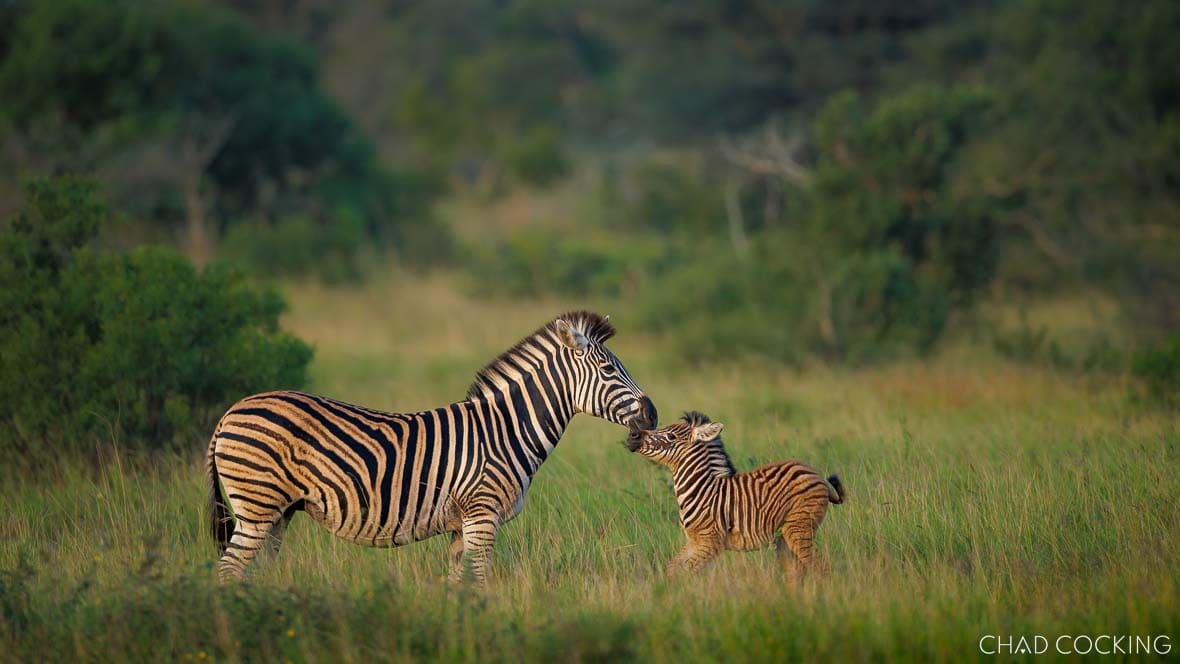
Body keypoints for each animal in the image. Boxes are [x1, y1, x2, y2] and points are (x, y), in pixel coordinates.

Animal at [208, 311, 657, 583]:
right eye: (608, 369)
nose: (652, 414)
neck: (506, 430)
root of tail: (229, 413)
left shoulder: (461, 525)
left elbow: (459, 587)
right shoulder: (482, 516)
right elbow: (481, 583)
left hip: (277, 514)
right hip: (257, 508)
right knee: (227, 572)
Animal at [625, 412, 844, 583]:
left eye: (670, 436)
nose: (632, 435)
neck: (702, 490)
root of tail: (814, 472)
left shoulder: (710, 541)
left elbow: (686, 573)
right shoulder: (694, 541)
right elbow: (672, 569)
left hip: (799, 527)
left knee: (821, 567)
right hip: (785, 535)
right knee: (797, 572)